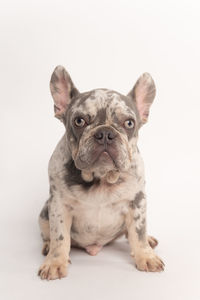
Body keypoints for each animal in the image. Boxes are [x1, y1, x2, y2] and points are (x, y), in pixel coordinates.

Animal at [37, 64, 164, 280]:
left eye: (129, 123)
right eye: (79, 121)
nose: (105, 133)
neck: (101, 177)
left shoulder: (137, 202)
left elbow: (138, 232)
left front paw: (145, 256)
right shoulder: (58, 206)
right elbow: (60, 237)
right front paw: (55, 262)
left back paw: (149, 240)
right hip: (45, 211)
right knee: (48, 234)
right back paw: (47, 246)